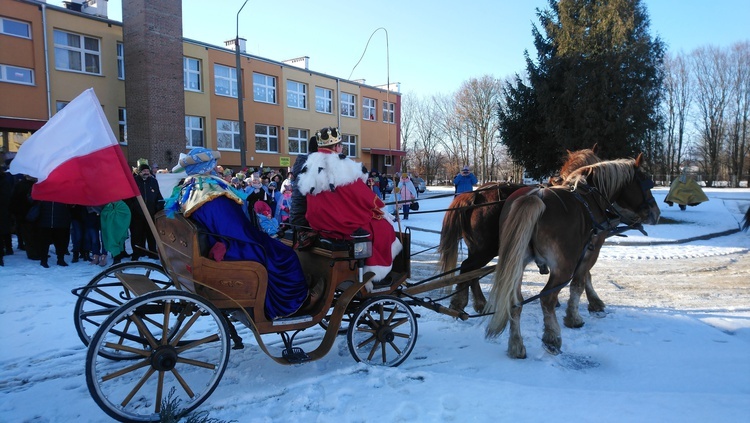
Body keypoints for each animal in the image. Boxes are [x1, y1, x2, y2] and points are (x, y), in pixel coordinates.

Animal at [438, 147, 604, 314]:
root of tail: (476, 195)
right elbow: (585, 273)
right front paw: (594, 301)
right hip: (485, 249)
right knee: (468, 267)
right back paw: (462, 302)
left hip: (476, 247)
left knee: (471, 272)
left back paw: (478, 303)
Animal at [484, 154, 660, 360]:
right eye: (646, 182)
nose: (656, 213)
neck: (591, 197)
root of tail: (535, 197)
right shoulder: (591, 251)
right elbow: (579, 284)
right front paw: (574, 317)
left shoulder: (581, 252)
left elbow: (585, 279)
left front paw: (592, 304)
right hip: (563, 267)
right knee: (547, 298)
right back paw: (552, 338)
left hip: (517, 263)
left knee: (515, 301)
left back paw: (516, 345)